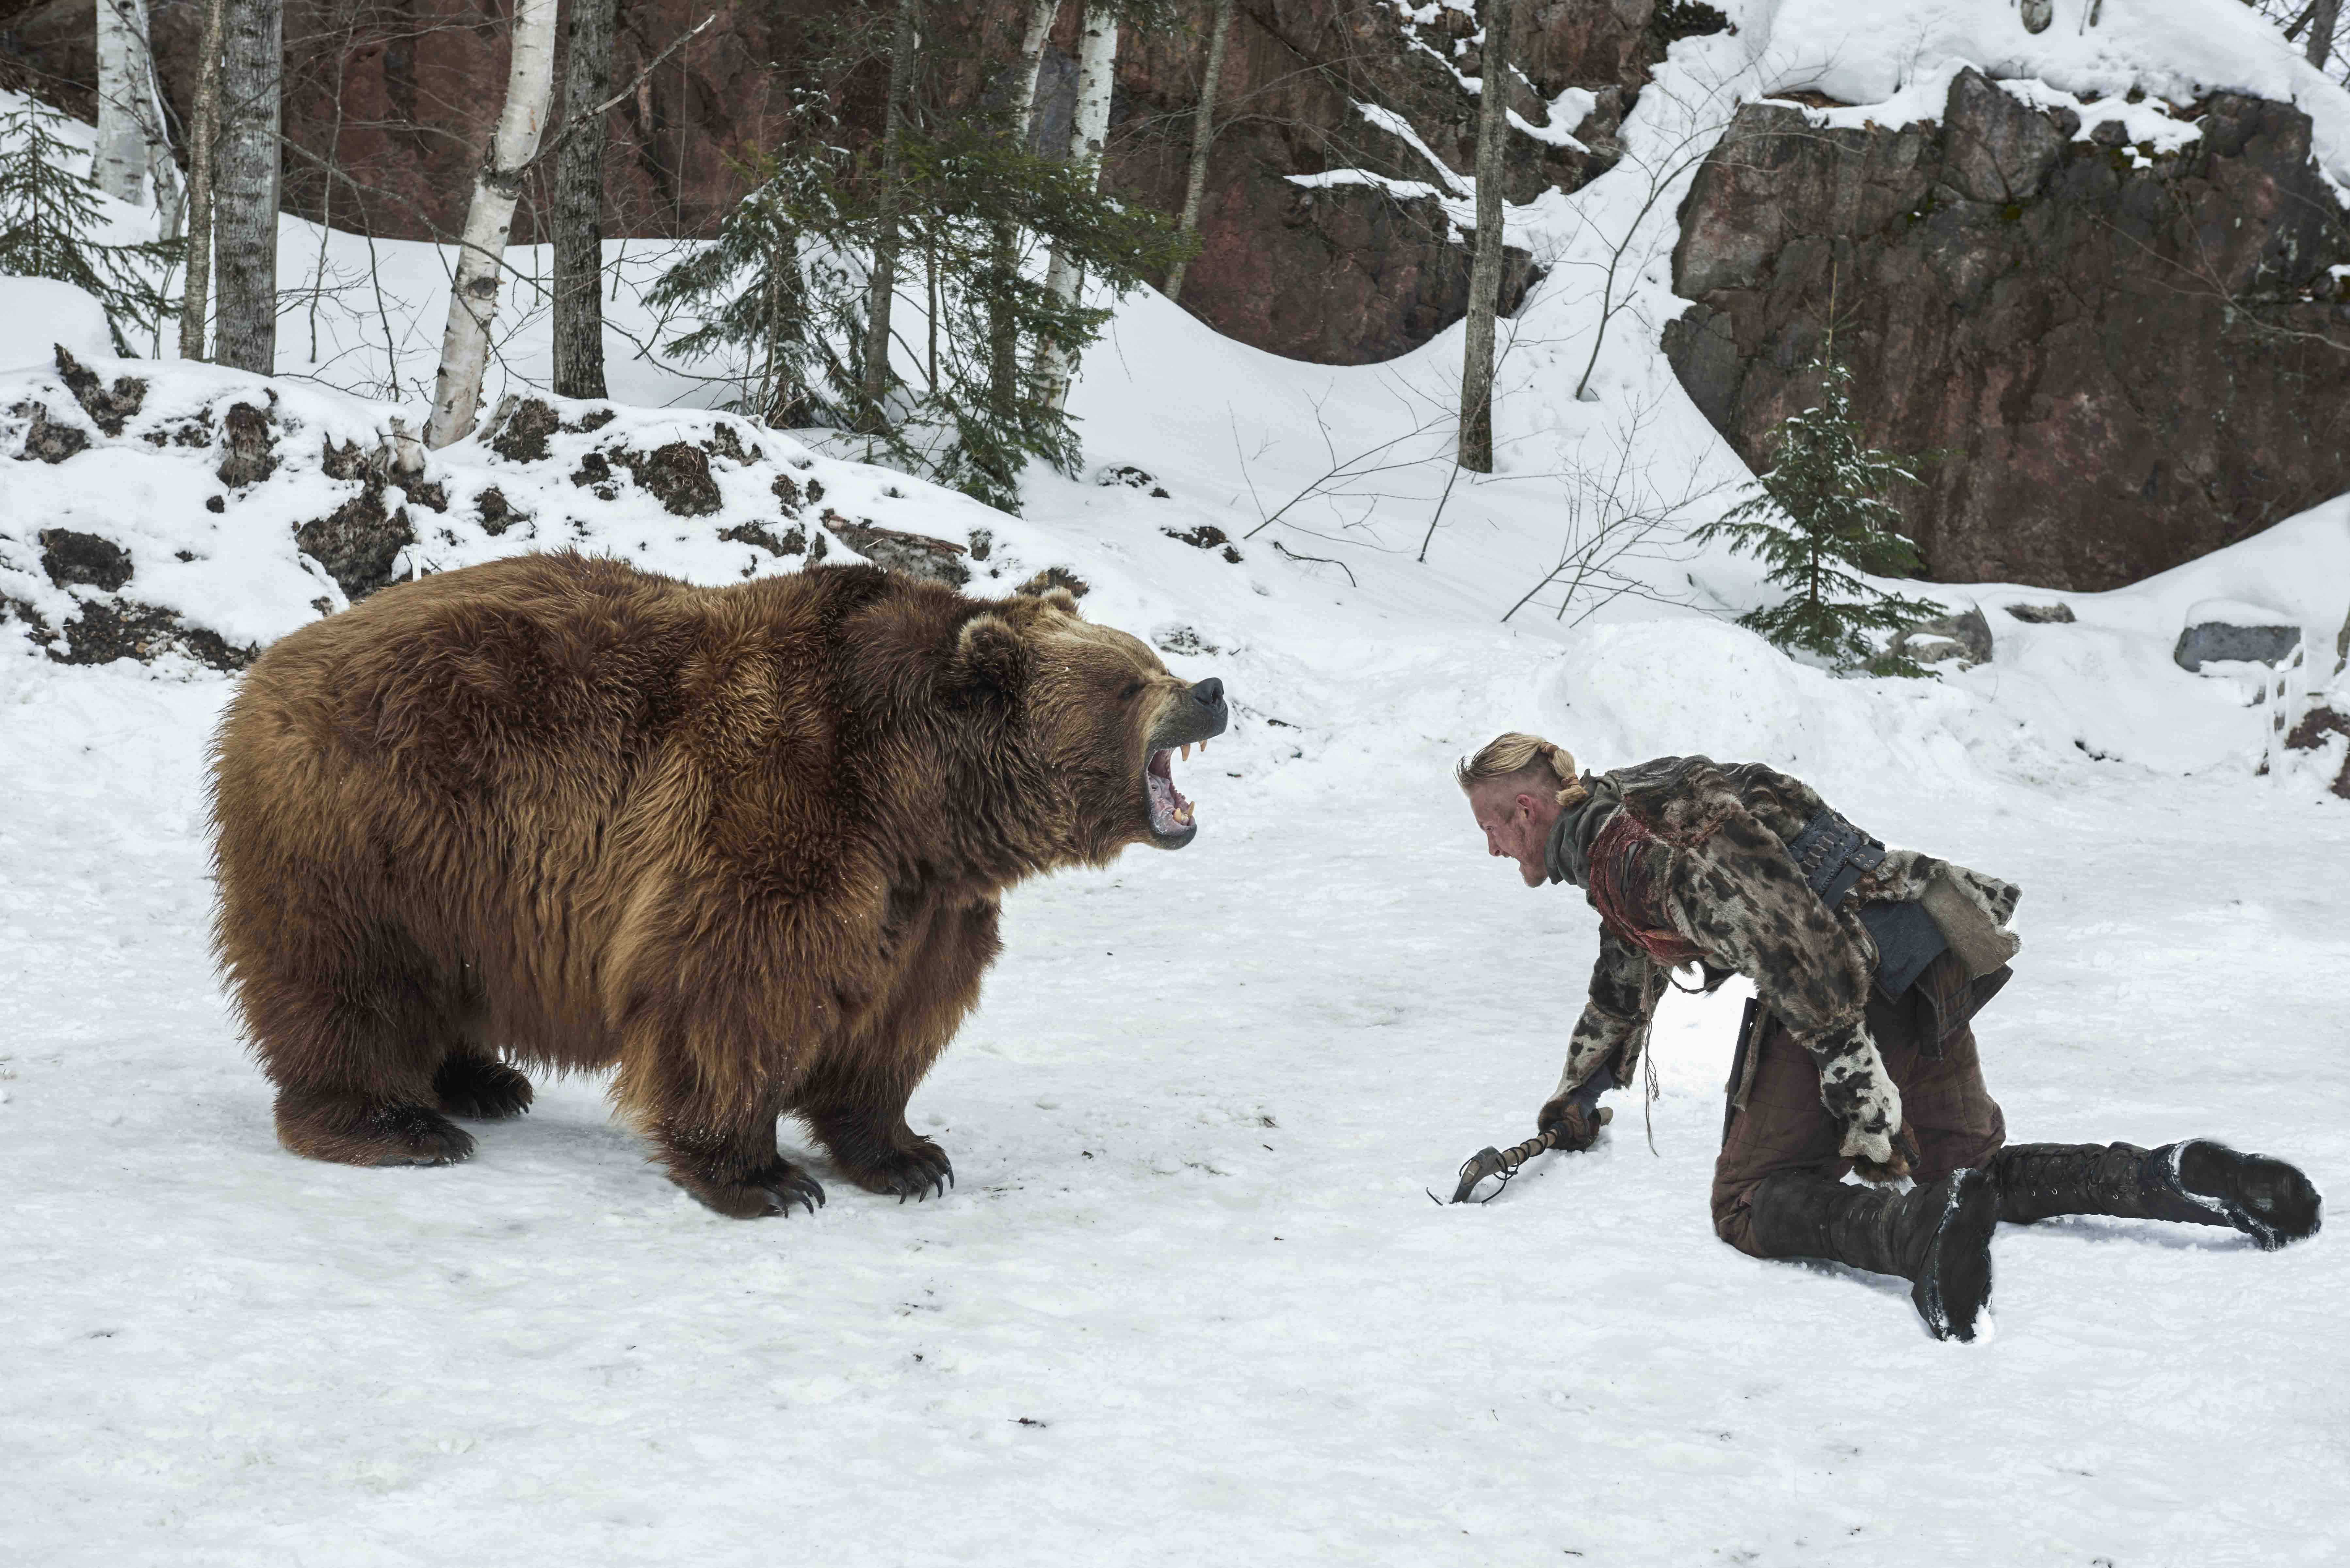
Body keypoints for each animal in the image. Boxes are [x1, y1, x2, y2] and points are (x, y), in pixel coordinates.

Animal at [209, 552, 1231, 1213]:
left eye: (1151, 658)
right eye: (1129, 681)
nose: (1211, 689)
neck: (918, 799)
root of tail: (271, 665)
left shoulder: (926, 902)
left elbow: (898, 1021)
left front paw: (909, 1156)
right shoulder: (777, 805)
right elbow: (734, 988)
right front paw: (765, 1177)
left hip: (454, 871)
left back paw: (482, 1080)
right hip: (377, 825)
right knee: (349, 977)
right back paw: (394, 1124)